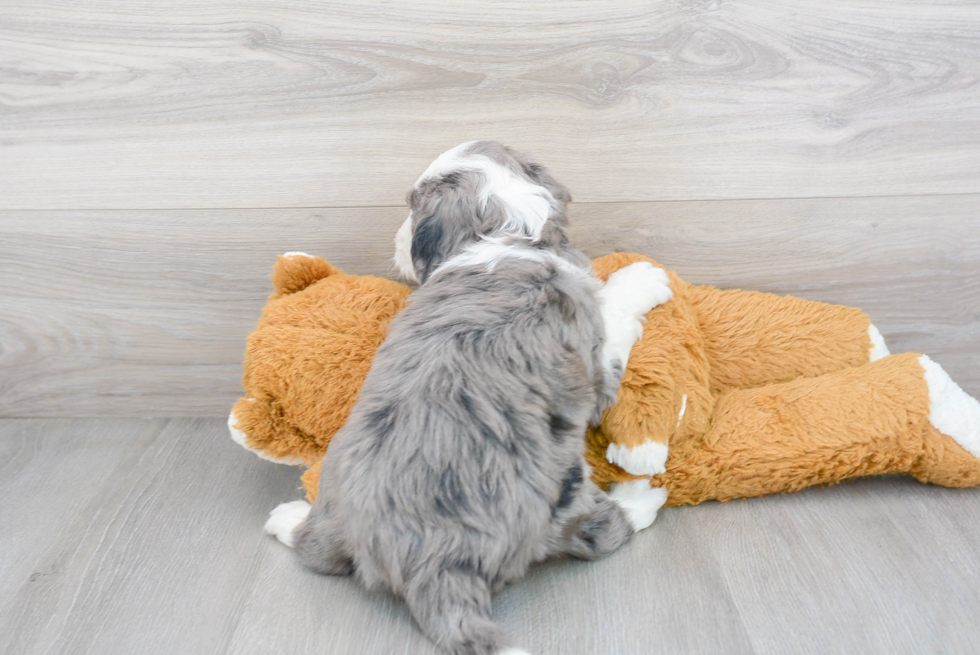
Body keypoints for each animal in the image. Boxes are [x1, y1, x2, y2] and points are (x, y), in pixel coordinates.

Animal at [268, 142, 672, 655]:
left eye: (410, 207)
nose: (395, 237)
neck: (509, 235)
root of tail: (430, 564)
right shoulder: (595, 358)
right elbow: (615, 311)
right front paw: (642, 278)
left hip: (337, 491)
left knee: (315, 547)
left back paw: (289, 518)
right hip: (564, 495)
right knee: (600, 534)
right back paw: (641, 498)